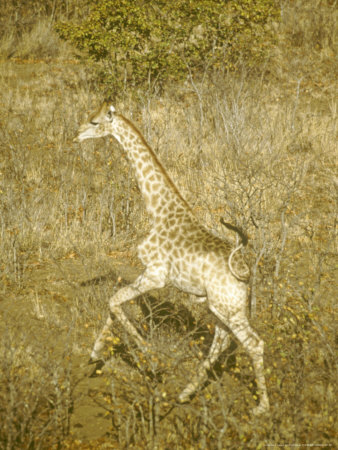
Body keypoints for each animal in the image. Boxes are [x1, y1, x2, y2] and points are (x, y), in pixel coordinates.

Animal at [73, 101, 270, 414]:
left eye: (94, 122)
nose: (76, 135)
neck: (158, 211)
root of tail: (246, 274)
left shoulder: (156, 276)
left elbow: (114, 301)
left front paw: (150, 357)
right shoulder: (148, 273)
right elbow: (113, 303)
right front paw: (94, 354)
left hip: (229, 310)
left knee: (253, 344)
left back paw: (261, 407)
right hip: (221, 308)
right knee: (222, 342)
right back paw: (184, 394)